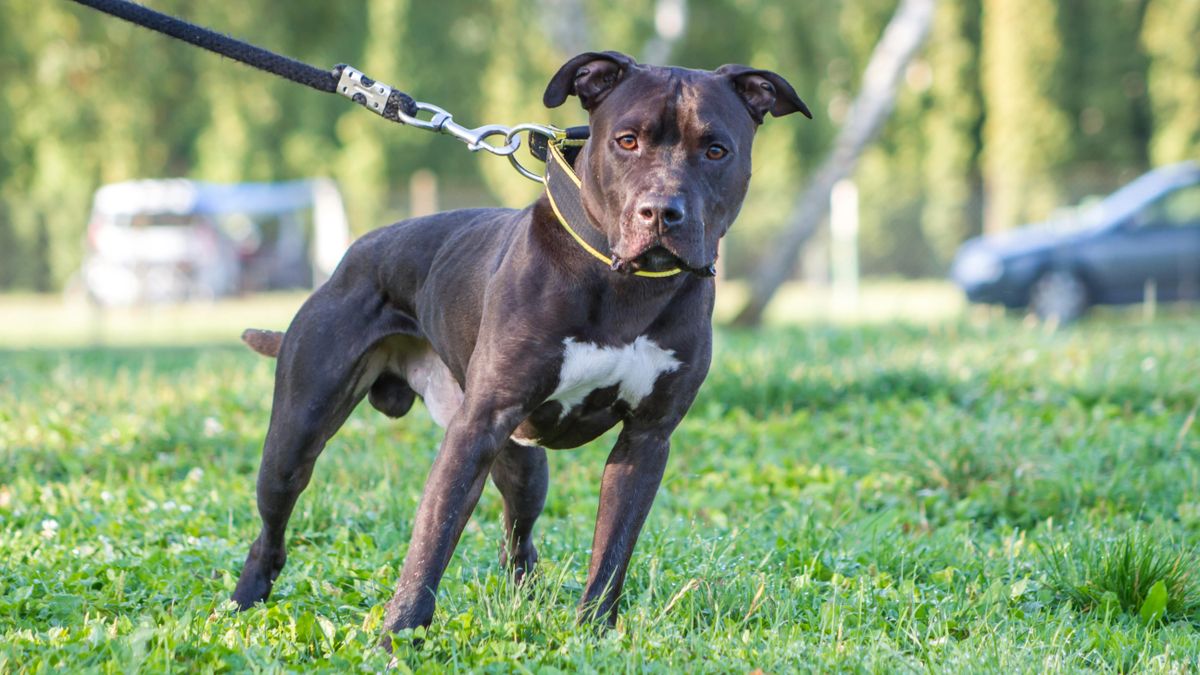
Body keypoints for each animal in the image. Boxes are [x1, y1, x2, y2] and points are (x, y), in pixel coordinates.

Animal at [229, 49, 811, 638]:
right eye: (626, 141)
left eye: (716, 150)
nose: (661, 211)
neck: (624, 284)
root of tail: (353, 256)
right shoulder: (475, 429)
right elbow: (431, 543)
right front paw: (398, 636)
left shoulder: (647, 440)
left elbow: (613, 549)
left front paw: (594, 633)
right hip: (295, 438)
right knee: (271, 530)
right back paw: (243, 602)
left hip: (526, 465)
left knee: (519, 541)